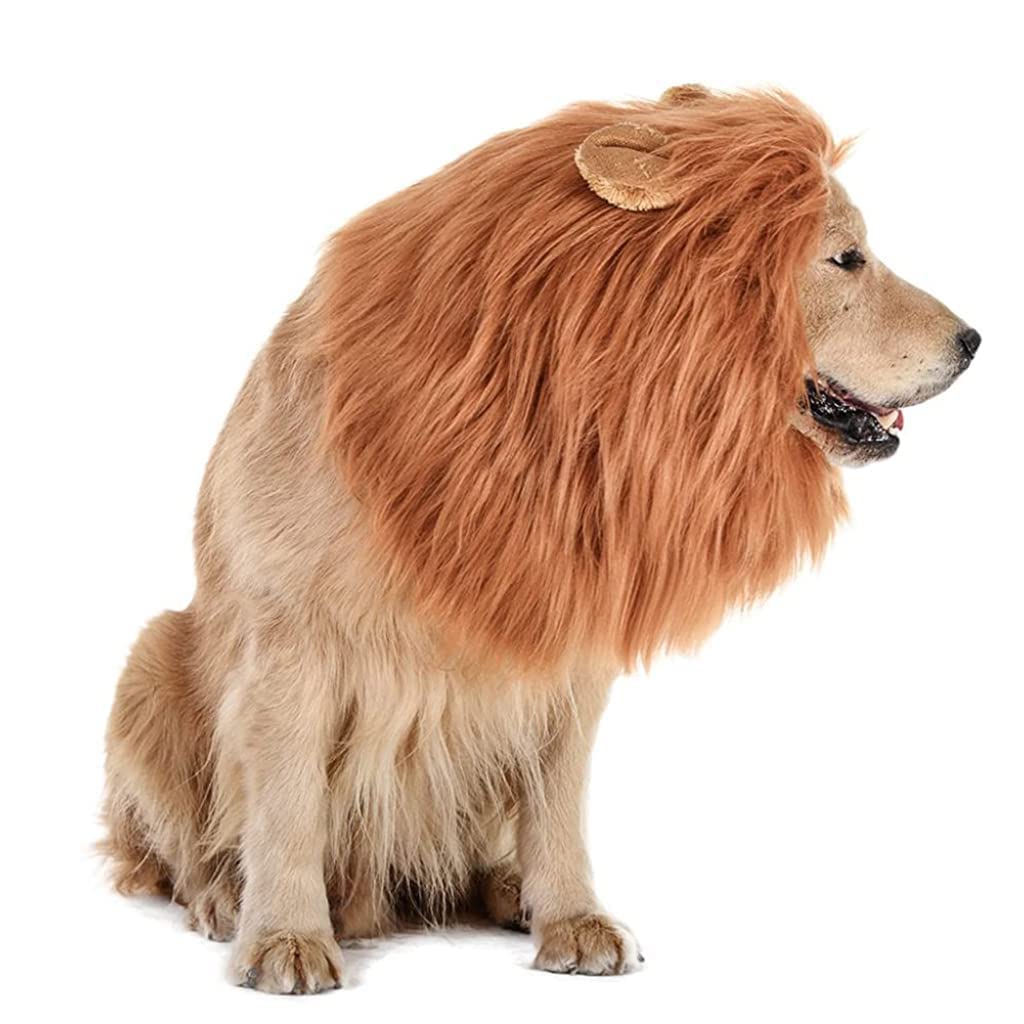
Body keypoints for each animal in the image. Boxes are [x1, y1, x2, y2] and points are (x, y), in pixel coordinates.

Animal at [101, 86, 979, 992]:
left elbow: (556, 808)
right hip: (152, 657)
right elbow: (286, 807)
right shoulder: (291, 645)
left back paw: (506, 889)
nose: (975, 341)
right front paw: (284, 937)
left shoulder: (563, 644)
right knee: (177, 849)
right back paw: (221, 899)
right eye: (847, 258)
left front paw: (572, 919)